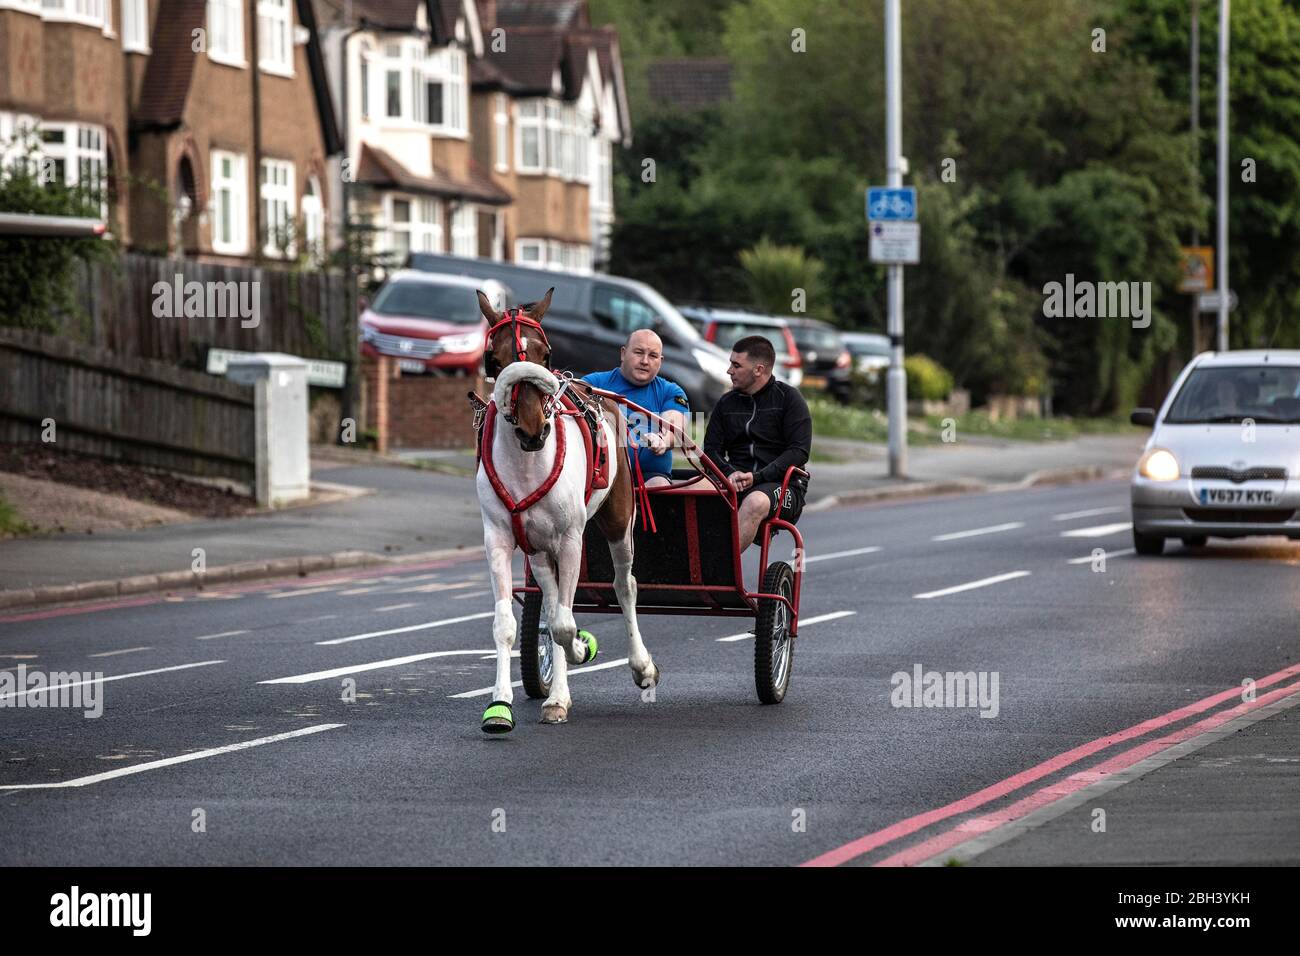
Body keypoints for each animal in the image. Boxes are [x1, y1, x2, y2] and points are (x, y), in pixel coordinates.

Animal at [475, 286, 660, 733]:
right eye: (495, 360)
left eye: (545, 354)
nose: (532, 430)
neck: (526, 464)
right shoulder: (499, 540)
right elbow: (509, 624)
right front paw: (500, 705)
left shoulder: (571, 538)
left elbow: (562, 624)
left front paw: (582, 648)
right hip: (540, 548)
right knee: (554, 594)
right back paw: (556, 697)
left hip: (617, 520)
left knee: (624, 586)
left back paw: (639, 665)